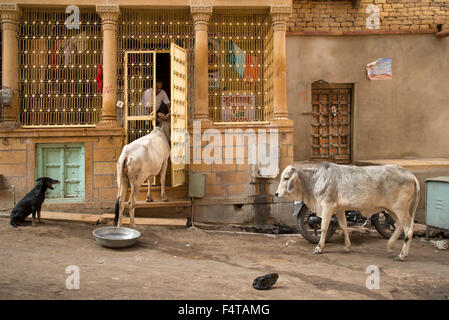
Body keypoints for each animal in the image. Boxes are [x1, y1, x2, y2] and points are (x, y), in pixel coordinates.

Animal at [274, 162, 418, 260]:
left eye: (286, 178)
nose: (276, 194)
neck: (315, 180)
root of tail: (409, 174)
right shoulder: (339, 209)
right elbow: (343, 226)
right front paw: (347, 247)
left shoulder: (327, 206)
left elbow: (324, 227)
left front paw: (319, 248)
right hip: (391, 209)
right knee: (399, 226)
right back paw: (390, 246)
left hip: (400, 209)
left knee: (409, 228)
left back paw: (402, 254)